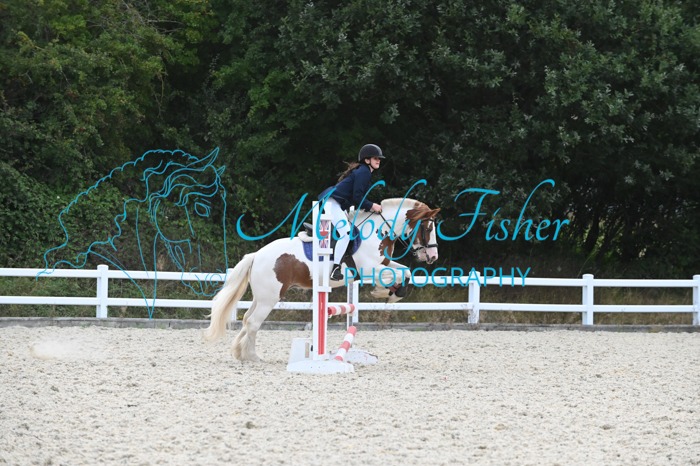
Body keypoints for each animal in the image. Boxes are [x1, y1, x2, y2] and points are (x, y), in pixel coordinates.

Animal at [203, 198, 440, 361]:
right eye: (428, 228)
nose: (432, 257)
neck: (377, 232)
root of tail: (256, 255)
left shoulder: (383, 263)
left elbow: (405, 272)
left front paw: (390, 293)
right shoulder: (369, 268)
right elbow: (398, 274)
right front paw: (385, 292)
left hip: (261, 297)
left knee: (246, 319)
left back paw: (240, 353)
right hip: (269, 298)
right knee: (253, 322)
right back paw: (253, 357)